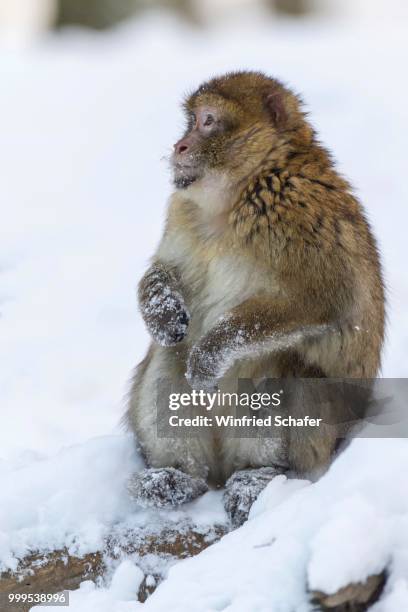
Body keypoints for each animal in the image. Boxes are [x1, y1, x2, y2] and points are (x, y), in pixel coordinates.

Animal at [125, 69, 386, 524]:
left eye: (208, 121)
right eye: (191, 121)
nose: (180, 146)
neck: (234, 196)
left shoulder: (296, 213)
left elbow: (320, 302)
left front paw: (210, 354)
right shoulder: (181, 209)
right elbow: (165, 271)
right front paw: (161, 310)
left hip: (322, 432)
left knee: (279, 366)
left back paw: (257, 476)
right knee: (168, 357)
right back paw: (176, 477)